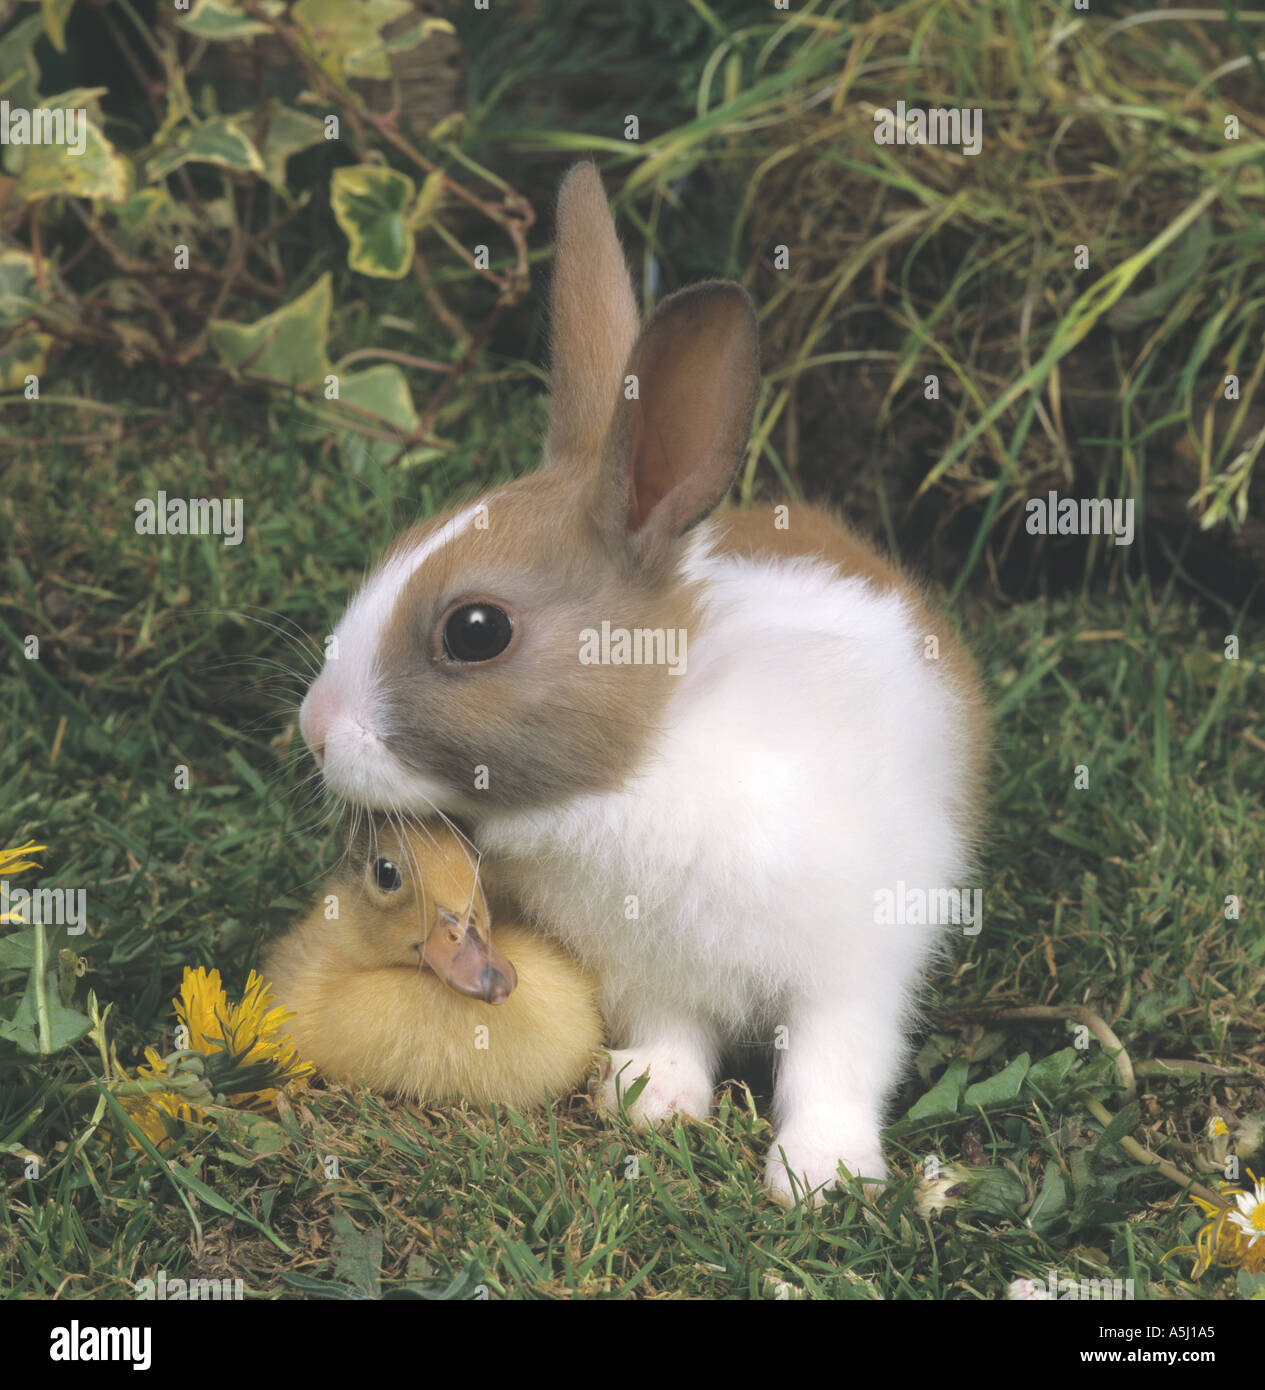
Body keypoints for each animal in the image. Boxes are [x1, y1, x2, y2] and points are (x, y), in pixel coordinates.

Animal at [297, 162, 989, 1206]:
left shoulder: (854, 962)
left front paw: (820, 1172)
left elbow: (833, 1061)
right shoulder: (646, 971)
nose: (313, 727)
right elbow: (673, 1031)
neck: (642, 768)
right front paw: (651, 1098)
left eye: (474, 632)